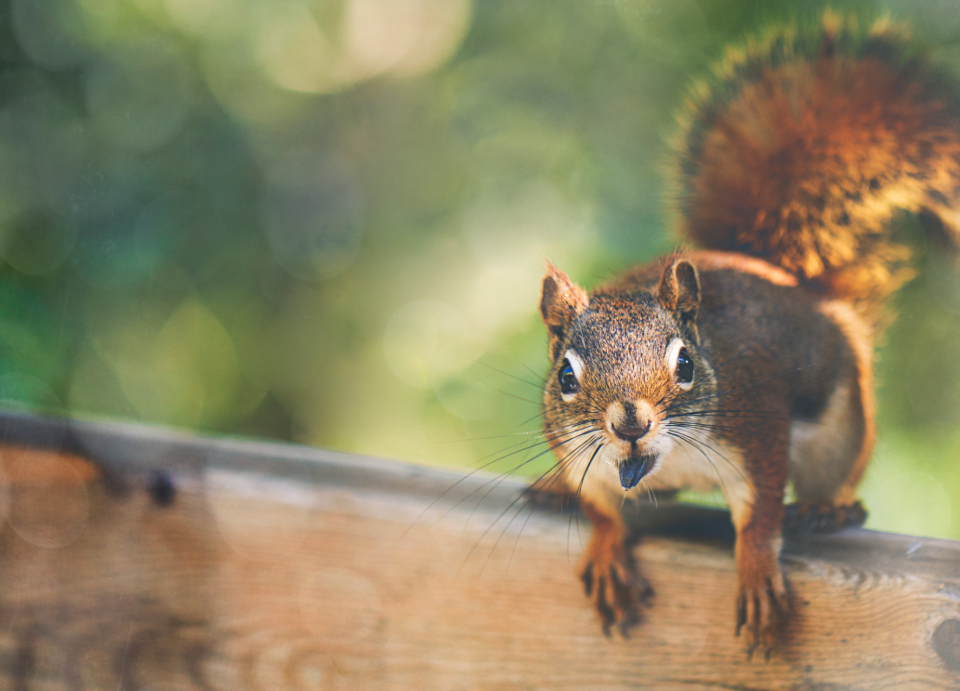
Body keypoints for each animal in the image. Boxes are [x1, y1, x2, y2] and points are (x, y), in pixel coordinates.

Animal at [538, 14, 960, 658]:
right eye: (565, 375)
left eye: (686, 365)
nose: (630, 423)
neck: (665, 460)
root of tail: (795, 284)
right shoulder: (580, 454)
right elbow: (605, 512)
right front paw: (607, 551)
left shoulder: (757, 429)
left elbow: (760, 516)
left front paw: (759, 574)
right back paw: (553, 490)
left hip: (842, 431)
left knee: (834, 477)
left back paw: (825, 510)